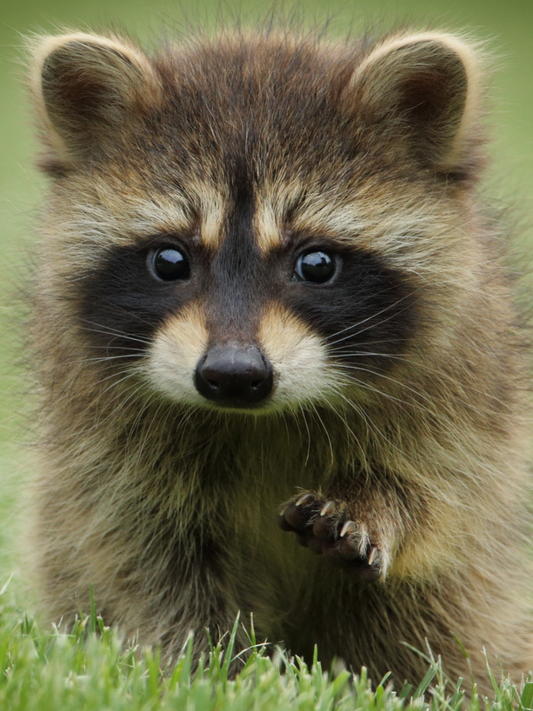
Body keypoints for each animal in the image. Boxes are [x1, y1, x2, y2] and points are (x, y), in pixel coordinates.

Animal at [25, 25, 533, 690]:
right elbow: (149, 556)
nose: (233, 376)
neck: (259, 419)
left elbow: (444, 493)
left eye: (316, 264)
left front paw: (378, 505)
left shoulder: (467, 386)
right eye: (169, 260)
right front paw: (210, 667)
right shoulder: (103, 443)